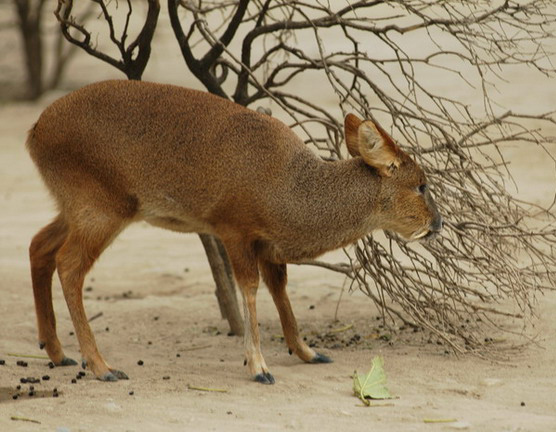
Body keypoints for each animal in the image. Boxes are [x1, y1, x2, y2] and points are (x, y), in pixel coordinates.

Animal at [27, 79, 444, 384]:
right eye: (421, 184)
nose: (437, 223)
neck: (290, 190)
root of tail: (35, 132)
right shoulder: (234, 229)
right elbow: (250, 288)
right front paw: (259, 367)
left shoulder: (268, 244)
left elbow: (280, 290)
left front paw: (308, 352)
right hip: (102, 207)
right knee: (69, 265)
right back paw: (102, 367)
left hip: (76, 207)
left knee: (38, 246)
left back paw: (58, 352)